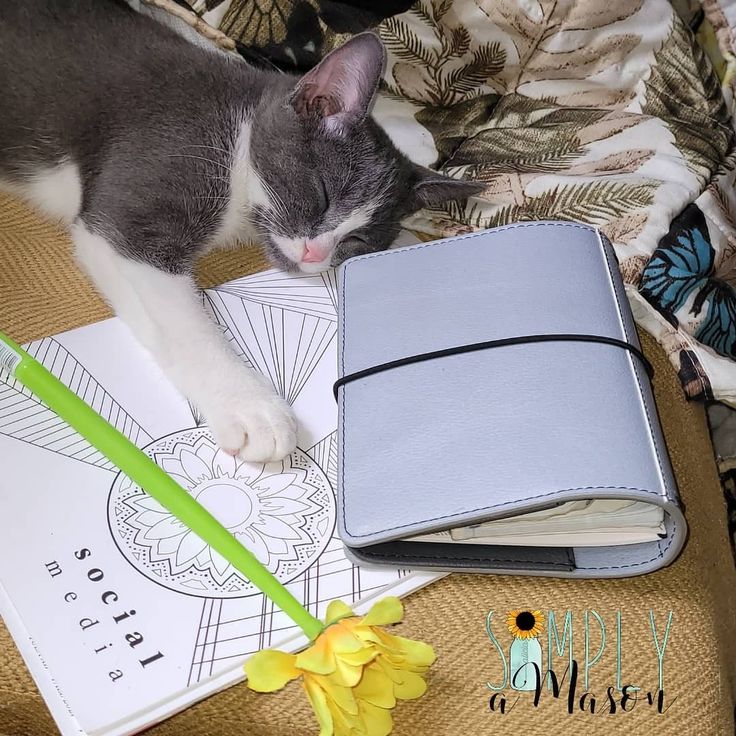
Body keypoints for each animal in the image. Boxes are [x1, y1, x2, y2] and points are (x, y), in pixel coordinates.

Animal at [0, 0, 484, 460]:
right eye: (322, 194)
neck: (241, 132)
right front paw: (252, 409)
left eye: (358, 240)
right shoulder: (149, 184)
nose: (315, 254)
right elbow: (181, 319)